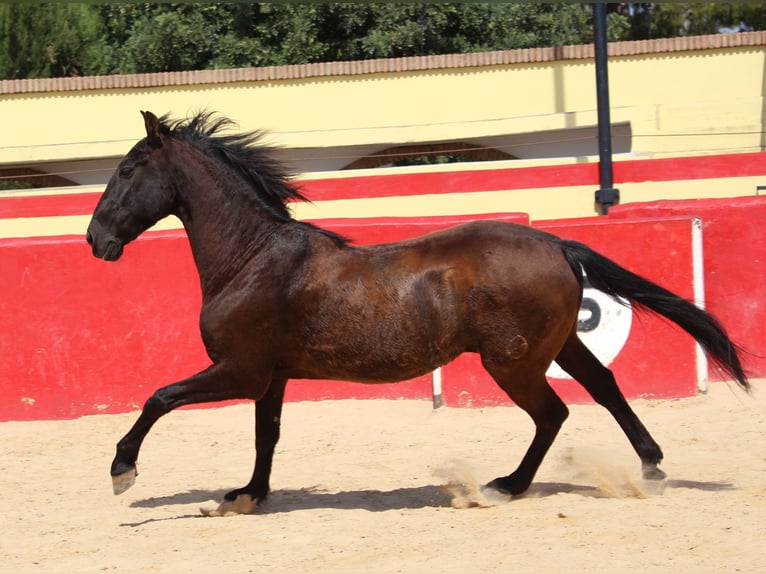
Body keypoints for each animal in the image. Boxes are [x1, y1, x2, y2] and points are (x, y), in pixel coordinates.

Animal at [85, 111, 752, 516]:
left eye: (127, 169)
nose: (96, 240)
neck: (251, 258)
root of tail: (556, 243)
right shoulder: (269, 377)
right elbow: (264, 436)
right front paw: (246, 495)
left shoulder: (238, 369)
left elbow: (159, 397)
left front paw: (123, 471)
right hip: (557, 346)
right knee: (605, 387)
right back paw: (651, 468)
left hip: (512, 362)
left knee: (555, 412)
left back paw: (503, 487)